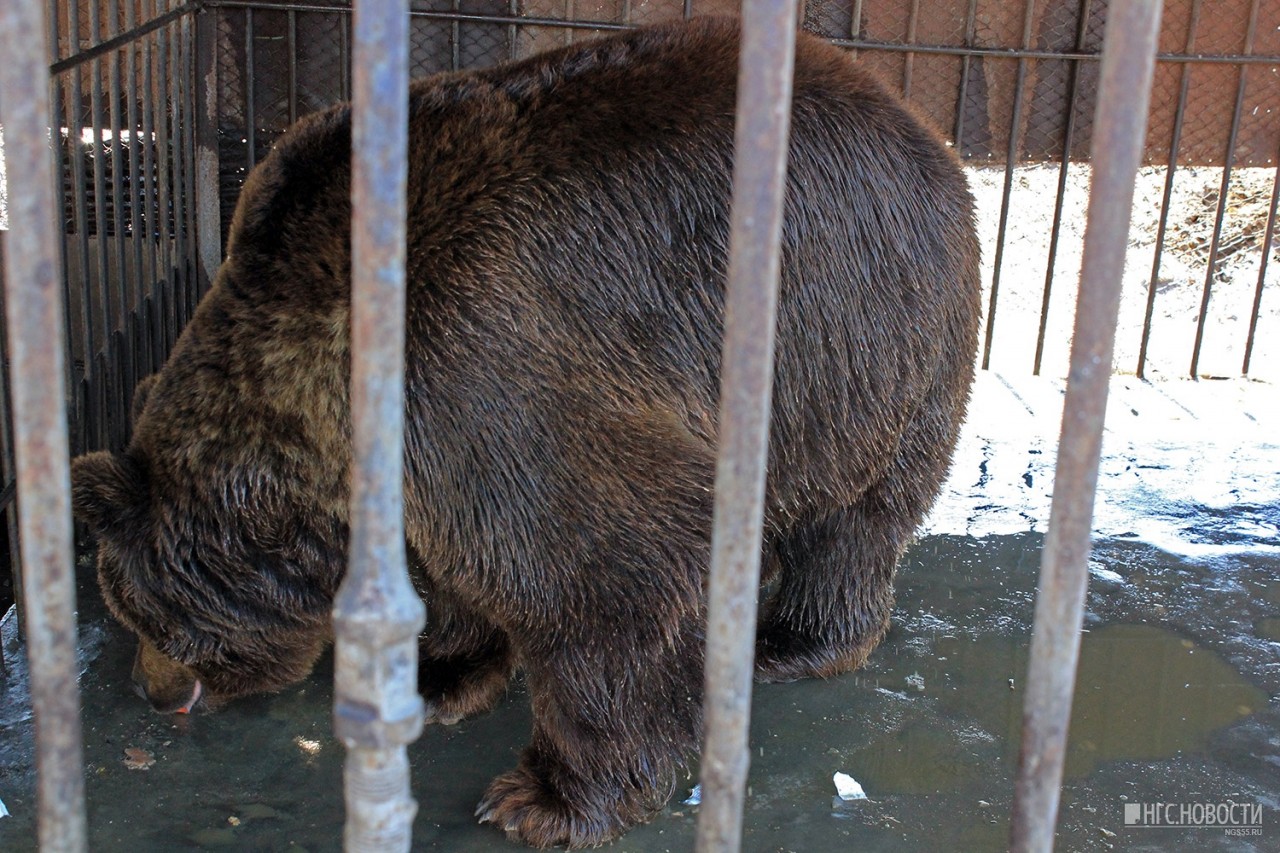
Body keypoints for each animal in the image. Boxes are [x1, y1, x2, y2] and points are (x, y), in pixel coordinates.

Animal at [70, 14, 977, 850]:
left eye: (142, 615)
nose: (151, 689)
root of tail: (909, 114)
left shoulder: (479, 360)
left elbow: (606, 569)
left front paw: (545, 796)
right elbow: (451, 570)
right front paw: (441, 673)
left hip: (854, 334)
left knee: (853, 519)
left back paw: (789, 640)